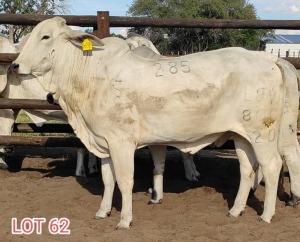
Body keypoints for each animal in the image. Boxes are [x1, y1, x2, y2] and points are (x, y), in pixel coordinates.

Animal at [12, 17, 300, 229]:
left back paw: (267, 215)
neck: (89, 76)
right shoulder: (103, 142)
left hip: (262, 132)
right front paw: (103, 211)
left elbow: (124, 180)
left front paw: (125, 220)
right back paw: (236, 209)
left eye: (45, 36)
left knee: (273, 165)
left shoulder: (121, 142)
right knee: (247, 168)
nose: (14, 65)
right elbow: (107, 179)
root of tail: (268, 58)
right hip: (241, 135)